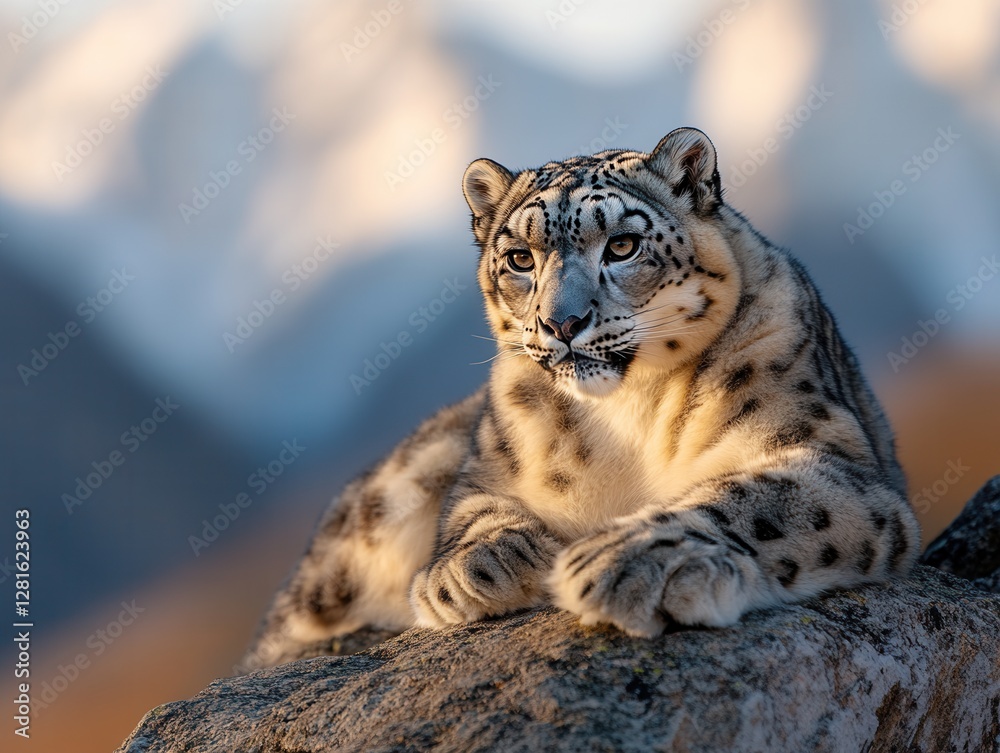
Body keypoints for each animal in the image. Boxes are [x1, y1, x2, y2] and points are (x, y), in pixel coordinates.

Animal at [243, 127, 920, 667]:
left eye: (621, 245)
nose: (561, 323)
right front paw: (480, 567)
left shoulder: (826, 454)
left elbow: (757, 498)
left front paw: (632, 561)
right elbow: (472, 510)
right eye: (519, 258)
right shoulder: (485, 463)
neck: (629, 411)